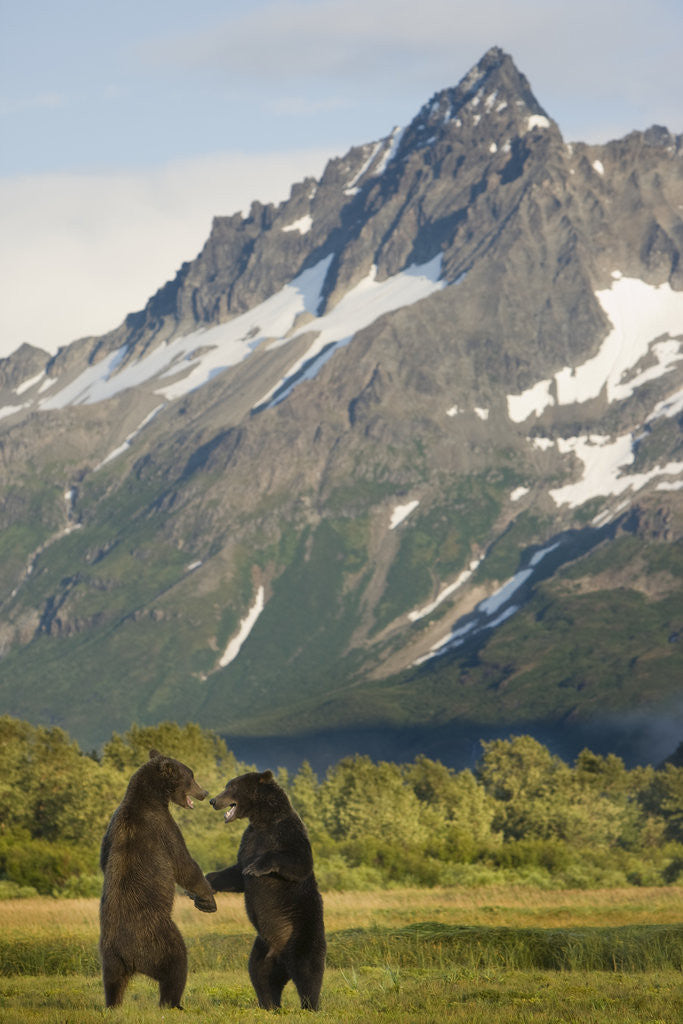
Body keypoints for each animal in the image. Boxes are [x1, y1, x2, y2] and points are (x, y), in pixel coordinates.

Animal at [99, 749, 217, 1009]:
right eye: (191, 776)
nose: (205, 793)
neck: (151, 798)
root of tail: (129, 957)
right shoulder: (162, 827)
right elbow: (183, 864)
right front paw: (208, 898)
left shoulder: (111, 827)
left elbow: (103, 859)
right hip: (159, 939)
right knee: (176, 965)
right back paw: (173, 1003)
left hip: (109, 958)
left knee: (112, 982)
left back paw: (113, 1004)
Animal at [206, 769, 326, 1011]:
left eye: (230, 786)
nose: (213, 800)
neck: (263, 819)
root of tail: (281, 956)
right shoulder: (249, 839)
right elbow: (235, 874)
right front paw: (207, 883)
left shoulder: (287, 833)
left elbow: (299, 861)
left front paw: (255, 867)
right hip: (262, 947)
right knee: (260, 974)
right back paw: (270, 1004)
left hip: (303, 932)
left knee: (308, 968)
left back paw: (310, 1006)